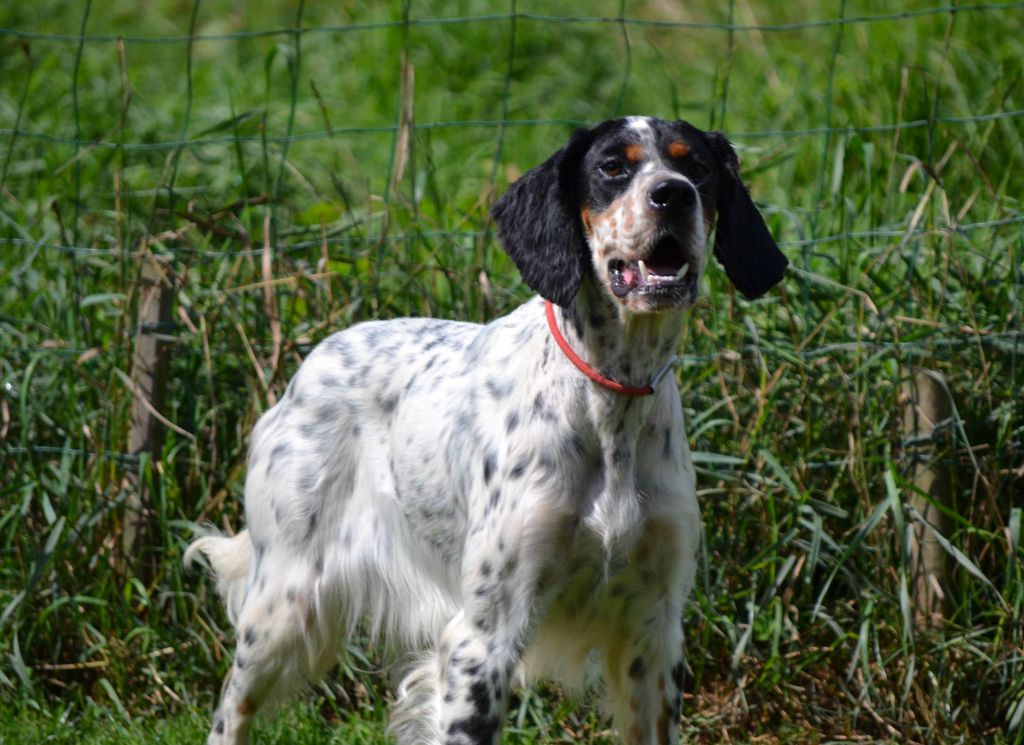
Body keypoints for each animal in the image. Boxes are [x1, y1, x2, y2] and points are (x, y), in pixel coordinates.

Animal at [188, 116, 786, 745]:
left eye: (695, 166)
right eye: (612, 168)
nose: (673, 195)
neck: (611, 402)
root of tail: (306, 370)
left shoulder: (654, 628)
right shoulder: (483, 640)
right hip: (282, 604)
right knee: (230, 711)